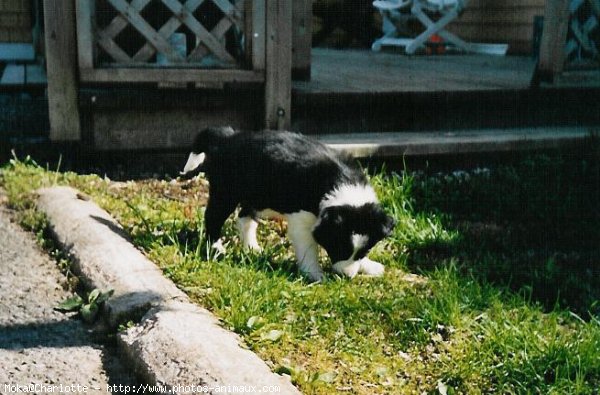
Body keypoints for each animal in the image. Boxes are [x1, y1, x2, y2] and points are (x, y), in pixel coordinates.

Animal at [183, 127, 398, 282]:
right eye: (338, 247)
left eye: (365, 250)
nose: (346, 277)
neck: (340, 182)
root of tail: (227, 137)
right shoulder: (302, 222)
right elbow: (308, 249)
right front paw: (315, 274)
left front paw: (368, 265)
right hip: (226, 192)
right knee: (213, 218)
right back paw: (216, 248)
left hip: (258, 197)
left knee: (244, 218)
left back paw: (252, 248)